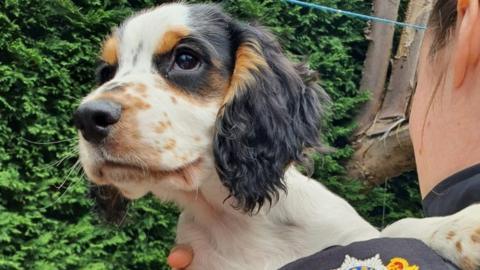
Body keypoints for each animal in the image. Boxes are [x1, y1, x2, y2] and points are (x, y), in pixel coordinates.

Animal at [73, 3, 478, 268]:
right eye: (106, 72)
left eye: (186, 59)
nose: (87, 117)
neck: (232, 218)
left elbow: (394, 227)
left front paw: (464, 226)